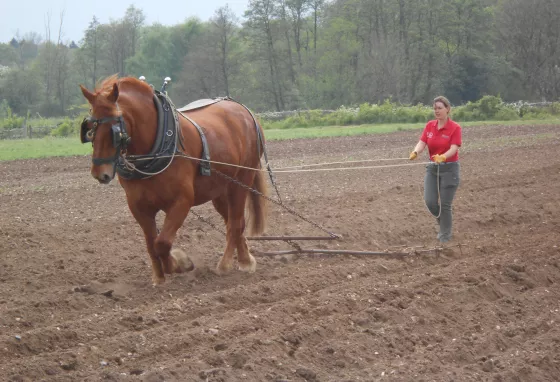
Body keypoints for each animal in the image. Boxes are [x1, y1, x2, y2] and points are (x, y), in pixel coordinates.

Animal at [79, 75, 270, 284]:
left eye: (114, 129)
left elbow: (162, 242)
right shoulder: (138, 207)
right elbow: (151, 244)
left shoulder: (181, 201)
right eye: (90, 129)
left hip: (242, 180)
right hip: (220, 191)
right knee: (234, 223)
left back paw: (226, 265)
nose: (100, 173)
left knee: (235, 223)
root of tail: (244, 110)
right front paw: (159, 277)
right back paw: (246, 260)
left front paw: (179, 264)